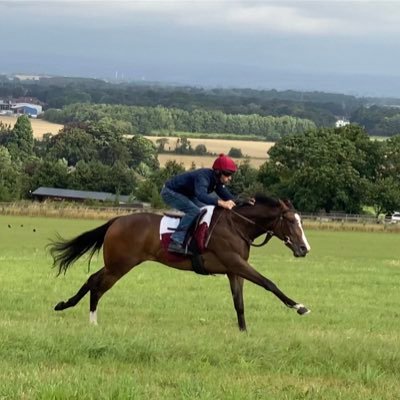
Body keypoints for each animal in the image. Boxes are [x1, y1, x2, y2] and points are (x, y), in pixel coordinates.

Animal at [50, 195, 310, 332]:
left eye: (300, 220)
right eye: (290, 221)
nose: (304, 249)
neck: (238, 226)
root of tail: (117, 220)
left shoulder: (233, 270)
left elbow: (239, 303)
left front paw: (243, 332)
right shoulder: (236, 263)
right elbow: (269, 283)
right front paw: (300, 307)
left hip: (116, 263)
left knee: (92, 278)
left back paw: (64, 305)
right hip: (120, 265)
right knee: (98, 286)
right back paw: (93, 320)